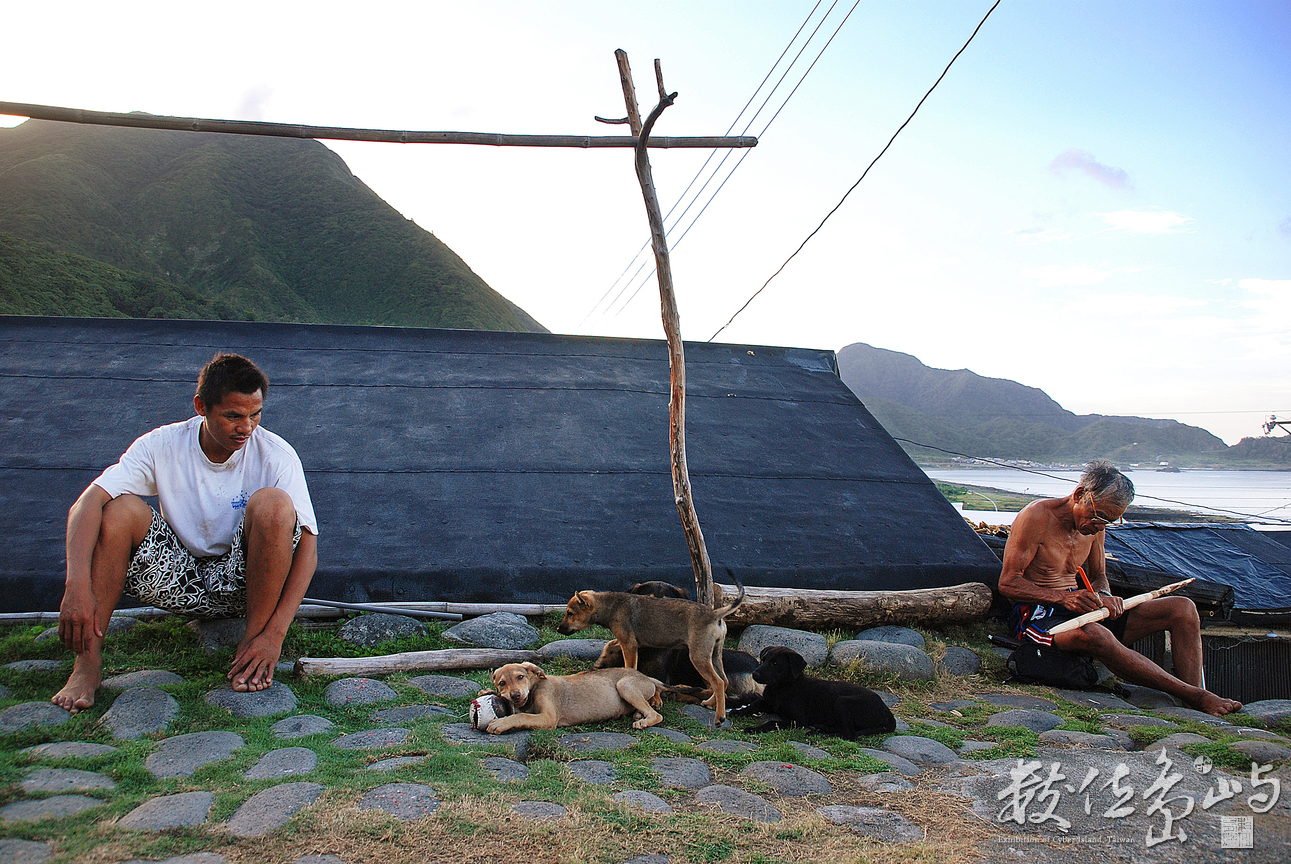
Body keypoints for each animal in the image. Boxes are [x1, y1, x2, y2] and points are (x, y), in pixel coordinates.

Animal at [733, 645, 893, 733]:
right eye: (763, 659)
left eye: (775, 663)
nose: (755, 674)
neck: (781, 689)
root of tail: (886, 711)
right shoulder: (768, 702)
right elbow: (754, 704)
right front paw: (738, 711)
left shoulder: (799, 721)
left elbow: (773, 722)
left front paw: (753, 729)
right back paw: (819, 728)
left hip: (844, 702)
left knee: (850, 734)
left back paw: (819, 732)